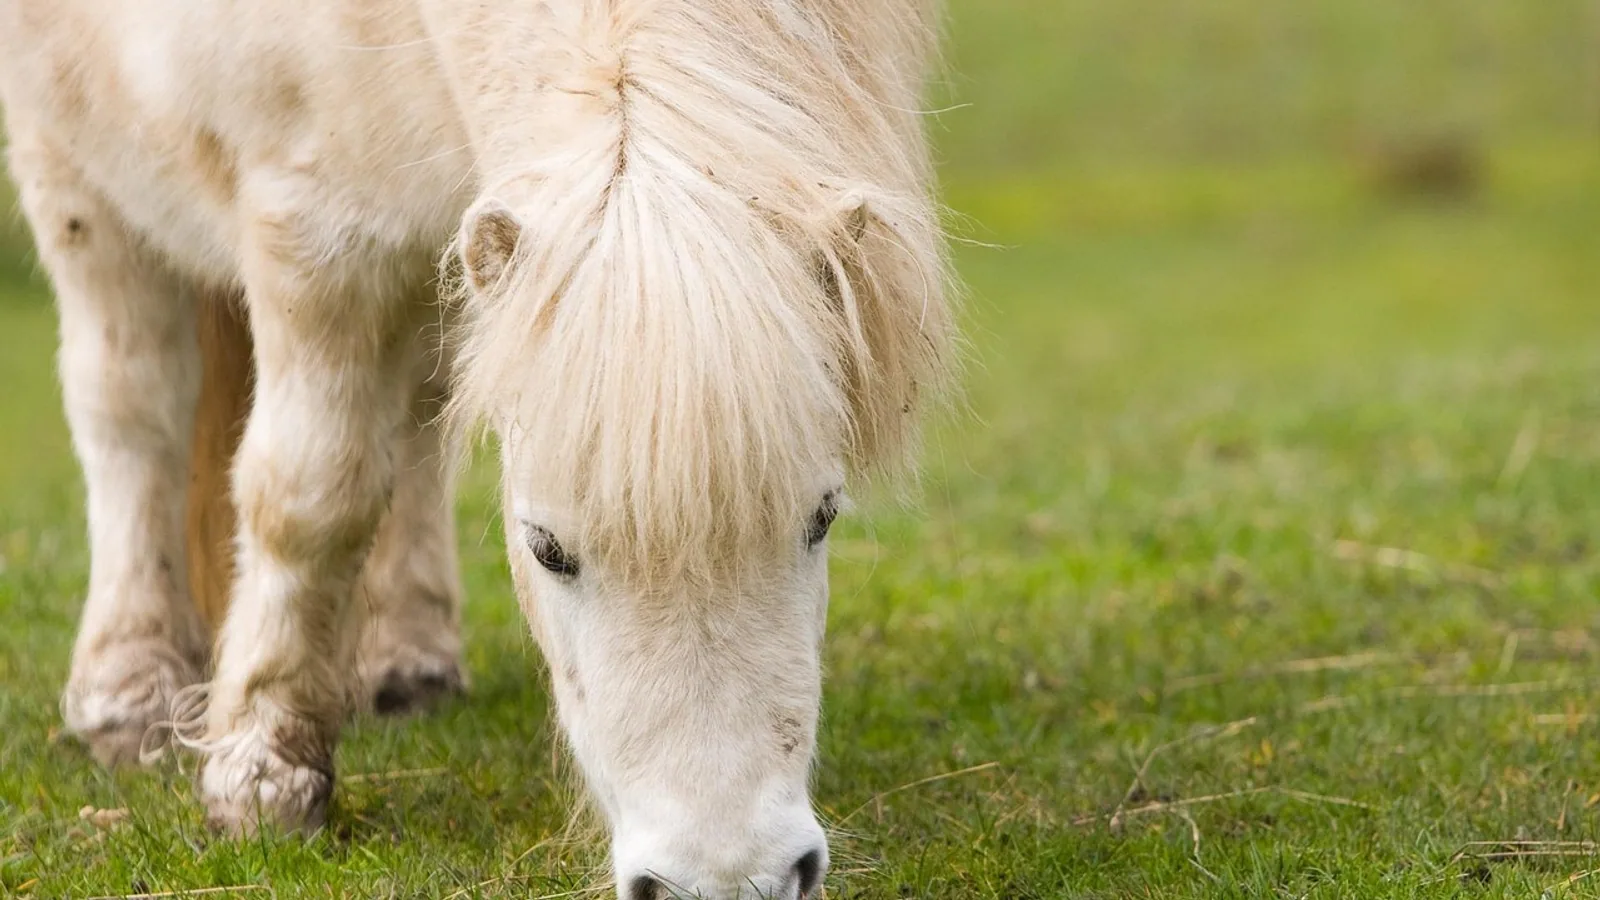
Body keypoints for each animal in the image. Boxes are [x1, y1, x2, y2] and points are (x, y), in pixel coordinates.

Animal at [0, 1, 953, 896]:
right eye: (547, 549)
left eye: (822, 518)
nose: (728, 881)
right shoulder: (310, 229)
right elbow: (308, 496)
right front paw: (262, 774)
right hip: (73, 174)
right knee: (131, 411)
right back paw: (129, 690)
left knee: (415, 411)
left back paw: (405, 661)